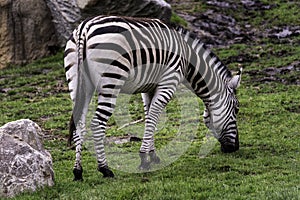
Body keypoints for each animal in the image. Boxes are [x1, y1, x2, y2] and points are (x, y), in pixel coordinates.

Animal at [63, 16, 241, 181]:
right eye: (237, 109)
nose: (236, 148)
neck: (187, 59)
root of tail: (84, 29)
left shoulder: (148, 88)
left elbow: (151, 118)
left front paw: (152, 155)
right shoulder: (169, 82)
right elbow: (153, 117)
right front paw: (144, 159)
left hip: (79, 84)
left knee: (79, 124)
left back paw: (77, 171)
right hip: (112, 79)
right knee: (97, 124)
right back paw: (105, 169)